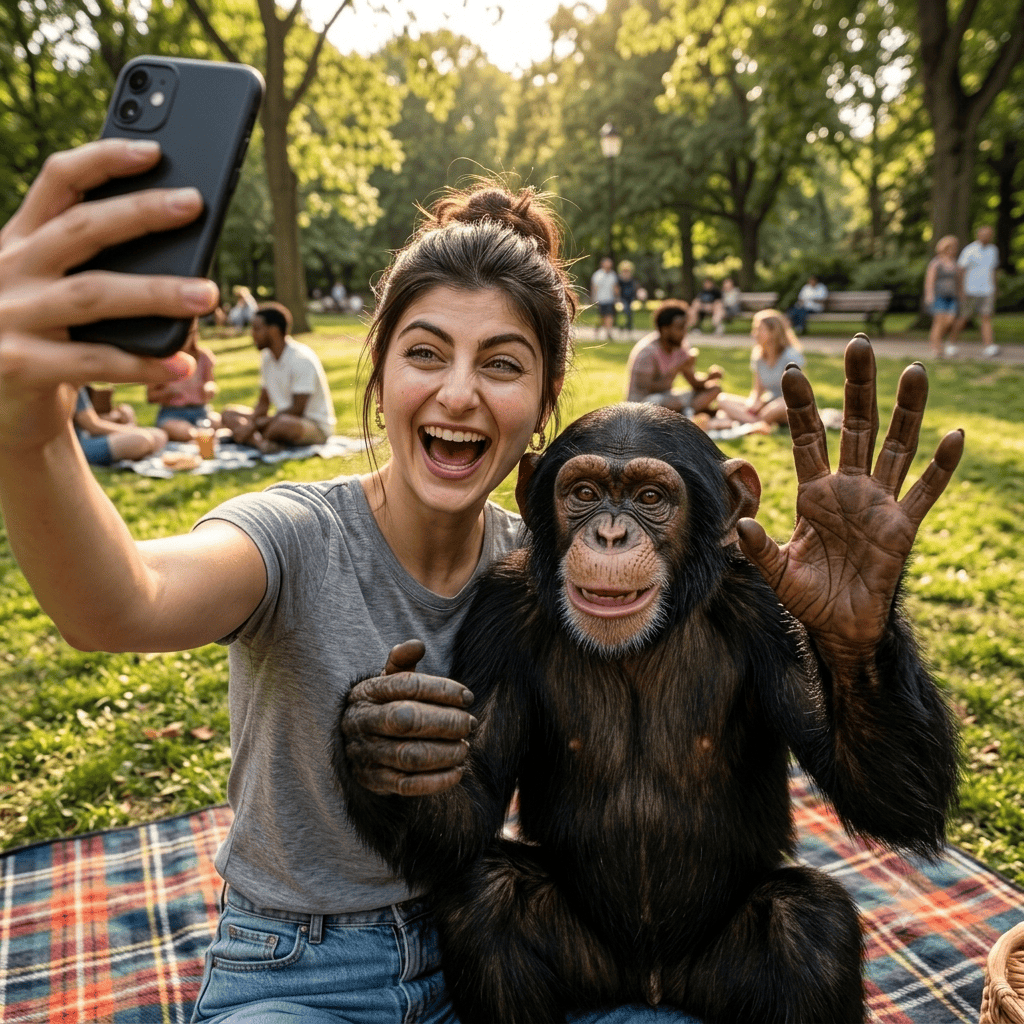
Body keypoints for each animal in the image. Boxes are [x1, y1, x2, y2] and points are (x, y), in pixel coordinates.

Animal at [335, 350, 963, 1024]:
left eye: (651, 497)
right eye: (584, 494)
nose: (610, 534)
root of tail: (652, 986)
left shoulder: (767, 608)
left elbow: (885, 794)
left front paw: (854, 557)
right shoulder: (499, 611)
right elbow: (469, 804)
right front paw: (386, 737)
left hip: (710, 971)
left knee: (807, 926)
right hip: (596, 966)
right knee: (490, 898)